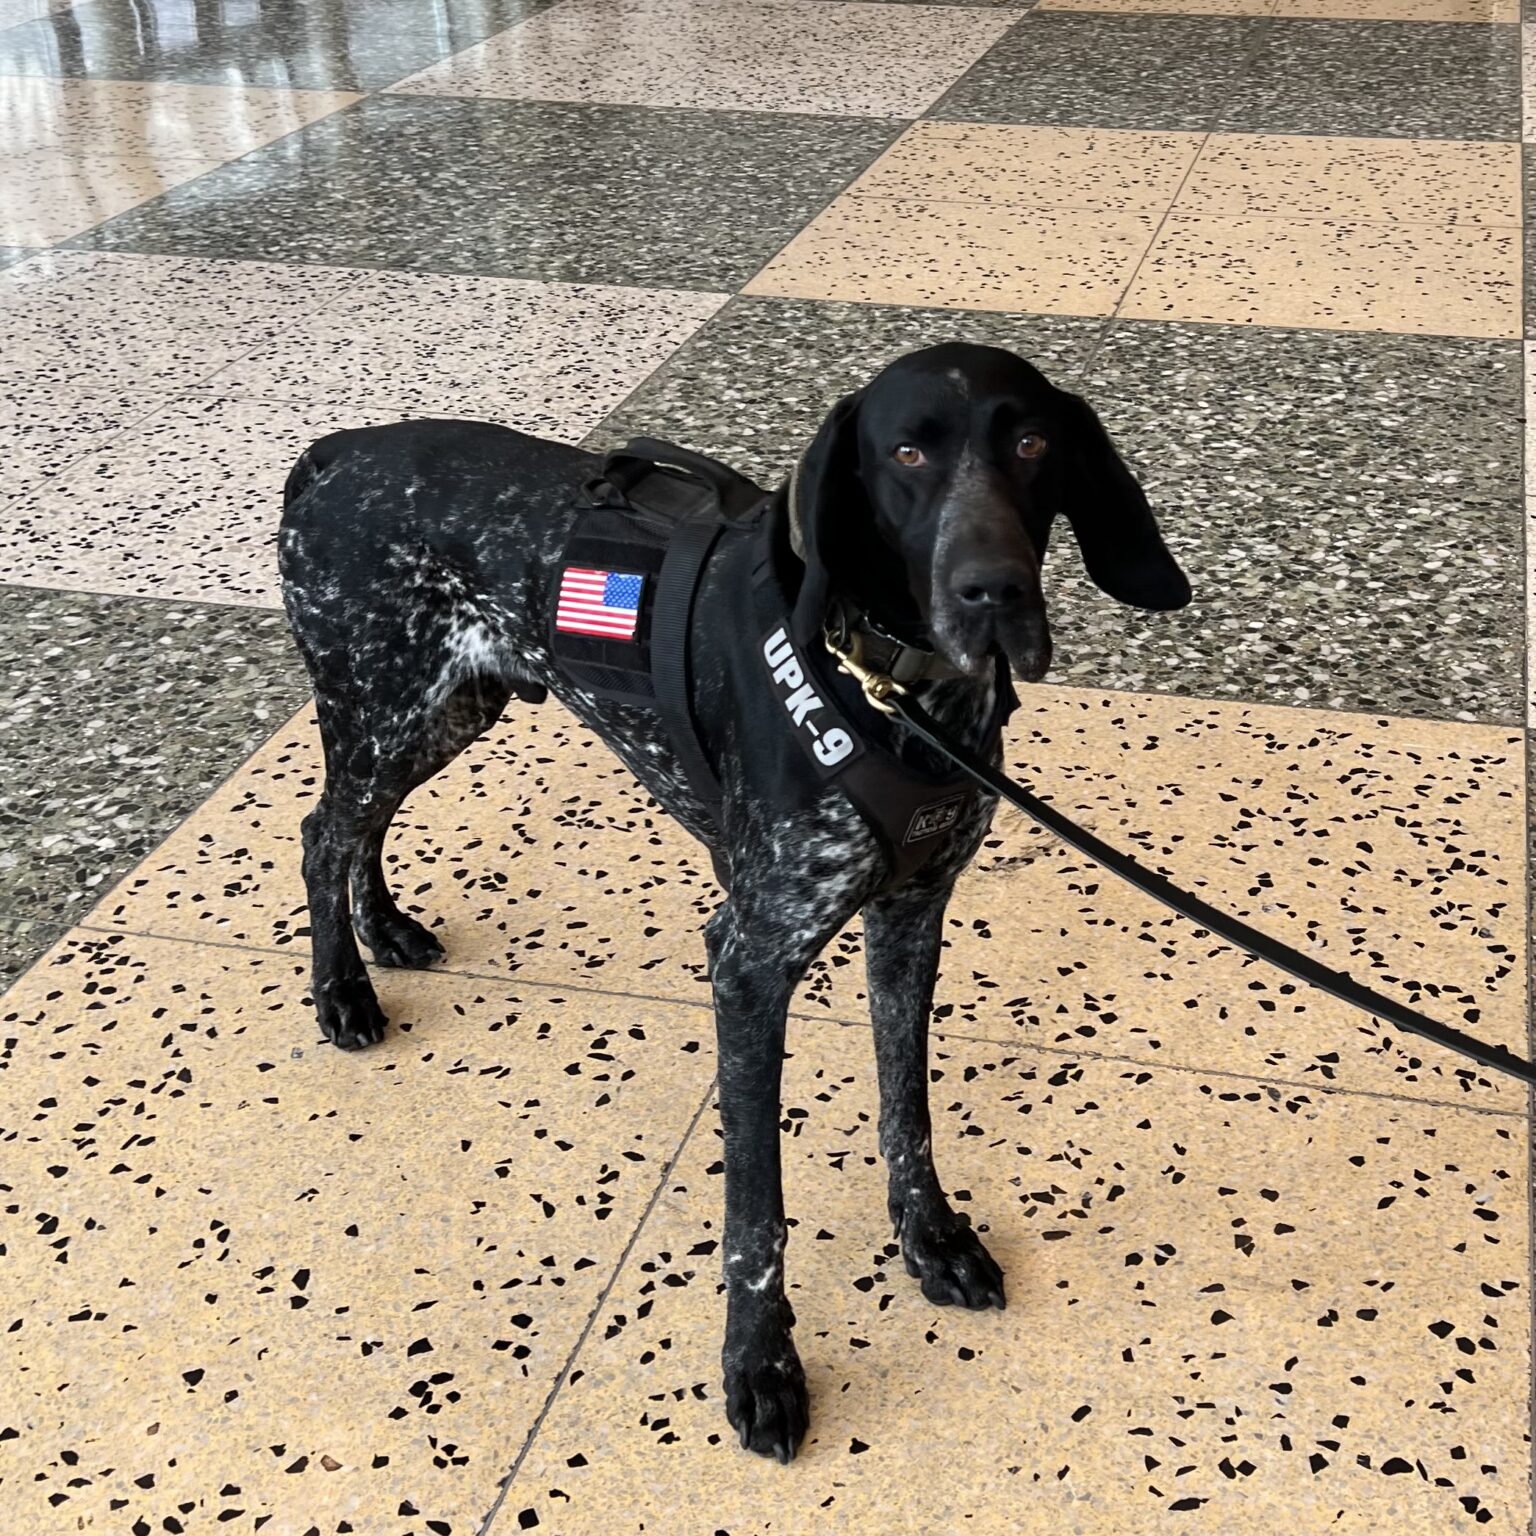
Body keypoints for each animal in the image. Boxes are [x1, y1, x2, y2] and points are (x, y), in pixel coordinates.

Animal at [276, 345, 1185, 1462]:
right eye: (908, 453)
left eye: (1030, 444)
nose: (993, 591)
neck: (889, 694)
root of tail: (336, 451)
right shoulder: (751, 964)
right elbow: (758, 1211)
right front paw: (761, 1366)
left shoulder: (911, 920)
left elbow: (908, 1114)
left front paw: (930, 1239)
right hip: (387, 706)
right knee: (322, 831)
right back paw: (341, 992)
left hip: (449, 707)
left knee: (356, 825)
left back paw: (384, 931)